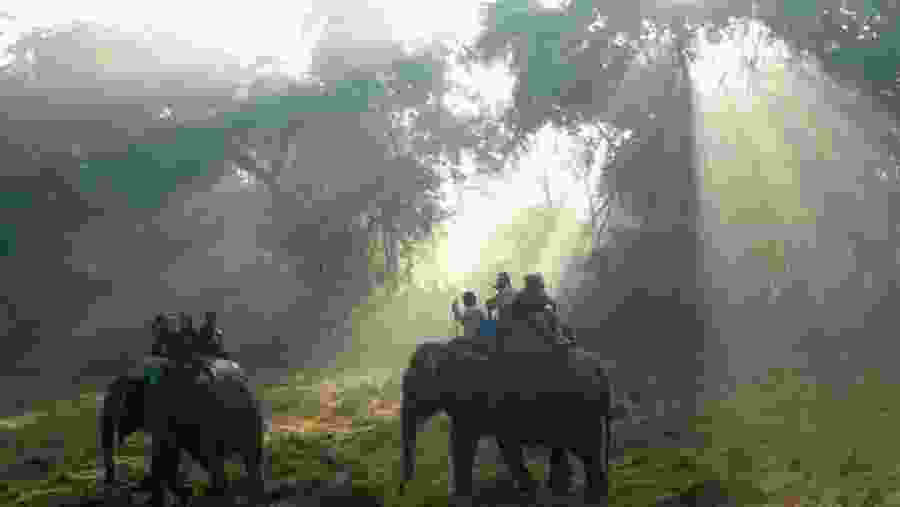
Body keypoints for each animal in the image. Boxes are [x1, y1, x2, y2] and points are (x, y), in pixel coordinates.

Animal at [399, 331, 614, 505]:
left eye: (411, 390)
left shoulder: (479, 397)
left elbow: (472, 442)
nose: (403, 491)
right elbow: (476, 442)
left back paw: (594, 497)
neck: (444, 347)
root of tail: (600, 369)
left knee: (586, 447)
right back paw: (566, 491)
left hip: (581, 408)